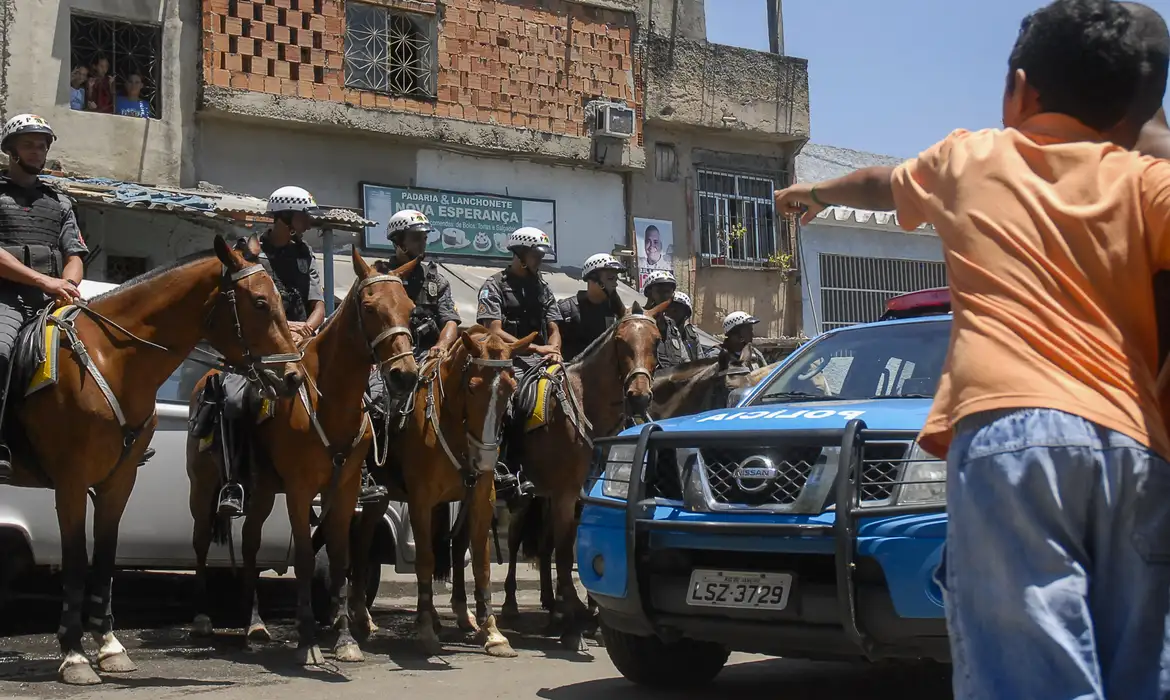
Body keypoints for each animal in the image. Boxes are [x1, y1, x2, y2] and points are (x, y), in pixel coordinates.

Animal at [3, 236, 301, 683]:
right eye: (261, 302)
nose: (293, 378)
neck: (110, 359)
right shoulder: (70, 480)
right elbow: (75, 559)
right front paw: (73, 654)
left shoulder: (119, 481)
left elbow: (104, 557)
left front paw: (109, 646)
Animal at [184, 249, 418, 664]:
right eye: (370, 307)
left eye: (409, 308)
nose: (405, 374)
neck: (331, 402)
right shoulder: (299, 490)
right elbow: (307, 558)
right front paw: (308, 639)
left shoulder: (343, 492)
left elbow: (340, 558)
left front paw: (345, 638)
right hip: (204, 485)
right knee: (200, 539)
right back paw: (202, 617)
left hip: (262, 491)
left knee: (250, 543)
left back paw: (255, 624)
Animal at [343, 327, 535, 660]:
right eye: (472, 387)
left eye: (511, 389)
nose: (486, 459)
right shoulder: (420, 501)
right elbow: (426, 560)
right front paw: (425, 631)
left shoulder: (480, 498)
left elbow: (480, 563)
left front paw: (492, 632)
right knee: (363, 542)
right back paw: (363, 618)